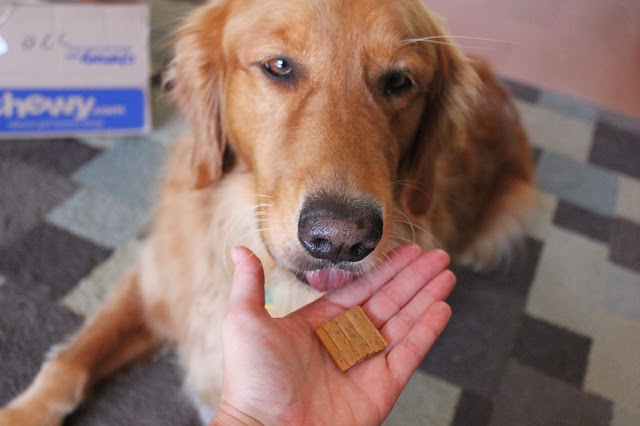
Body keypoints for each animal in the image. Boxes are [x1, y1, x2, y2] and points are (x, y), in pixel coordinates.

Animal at [0, 0, 535, 424]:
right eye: (279, 66)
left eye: (400, 81)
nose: (341, 239)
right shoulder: (154, 283)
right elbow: (70, 360)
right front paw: (24, 412)